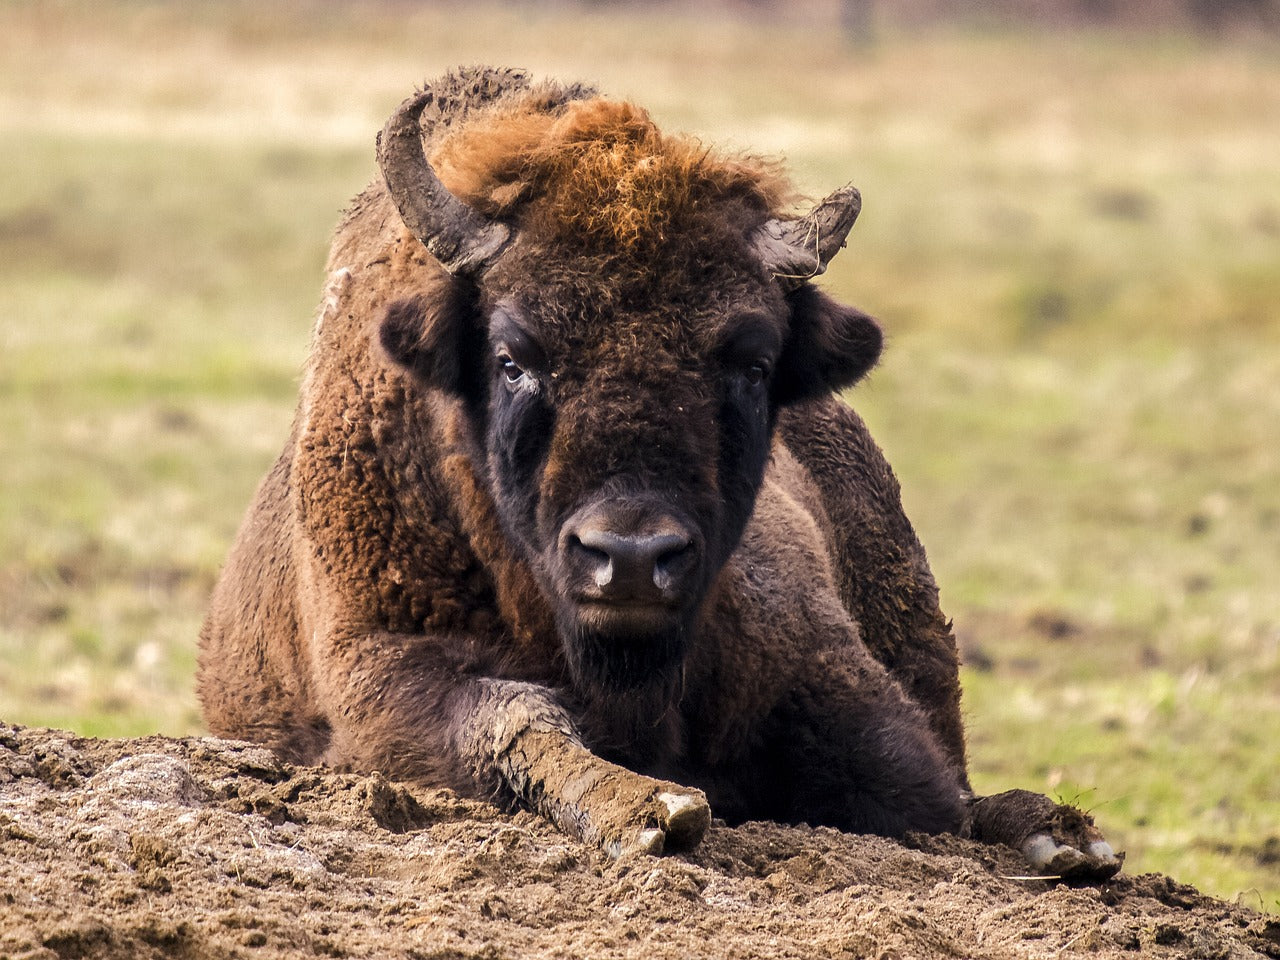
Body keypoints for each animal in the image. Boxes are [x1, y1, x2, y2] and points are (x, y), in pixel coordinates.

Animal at [199, 67, 1121, 880]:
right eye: (512, 357)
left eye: (752, 362)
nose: (632, 558)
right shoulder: (381, 669)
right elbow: (514, 717)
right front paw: (651, 810)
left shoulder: (831, 675)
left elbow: (919, 790)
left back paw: (1065, 836)